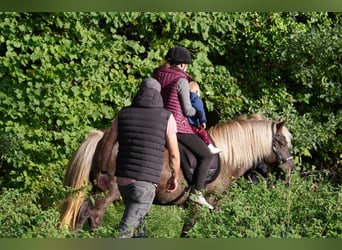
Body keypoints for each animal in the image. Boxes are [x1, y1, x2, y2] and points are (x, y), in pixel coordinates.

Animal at [58, 115, 294, 236]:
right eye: (282, 142)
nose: (291, 169)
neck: (229, 156)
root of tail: (103, 136)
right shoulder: (208, 202)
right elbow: (189, 229)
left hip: (98, 187)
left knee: (85, 212)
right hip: (108, 191)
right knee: (93, 213)